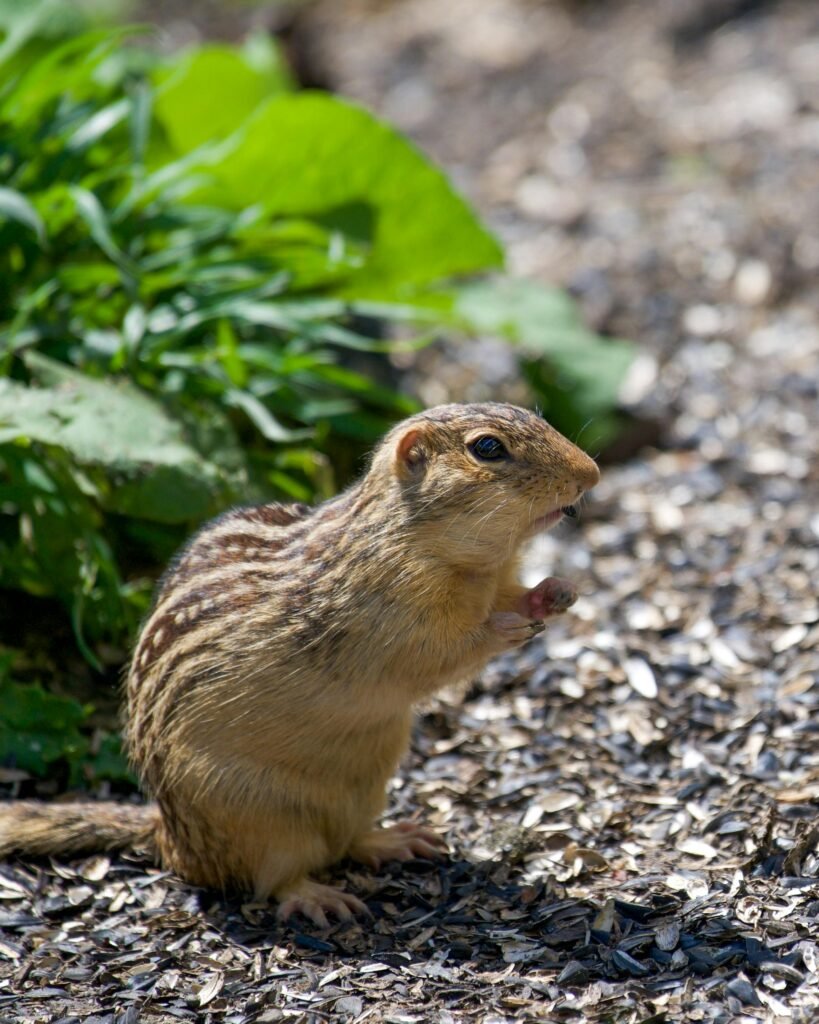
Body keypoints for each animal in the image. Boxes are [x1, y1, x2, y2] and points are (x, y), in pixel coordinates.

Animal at [1, 403, 601, 925]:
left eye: (539, 417)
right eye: (488, 448)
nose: (591, 475)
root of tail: (170, 837)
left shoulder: (495, 582)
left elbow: (512, 597)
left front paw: (556, 593)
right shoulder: (391, 625)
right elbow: (444, 654)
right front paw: (507, 628)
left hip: (369, 784)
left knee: (348, 842)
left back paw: (394, 840)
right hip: (263, 822)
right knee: (275, 878)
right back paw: (318, 897)